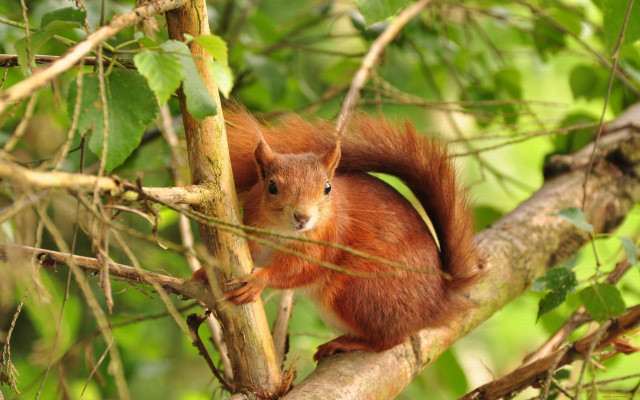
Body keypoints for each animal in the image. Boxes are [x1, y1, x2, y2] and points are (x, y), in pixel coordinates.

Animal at [193, 108, 479, 361]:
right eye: (272, 186)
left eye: (327, 188)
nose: (302, 217)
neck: (283, 231)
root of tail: (437, 304)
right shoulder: (256, 230)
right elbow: (250, 253)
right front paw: (205, 270)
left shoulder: (327, 240)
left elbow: (300, 268)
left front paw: (258, 281)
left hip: (359, 291)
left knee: (388, 341)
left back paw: (347, 343)